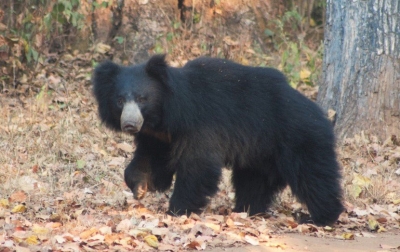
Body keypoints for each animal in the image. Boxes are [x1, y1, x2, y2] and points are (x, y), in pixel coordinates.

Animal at [93, 54, 344, 226]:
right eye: (119, 100)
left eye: (142, 99)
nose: (130, 124)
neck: (165, 115)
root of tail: (320, 113)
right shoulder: (158, 136)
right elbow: (149, 159)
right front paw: (140, 186)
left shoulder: (200, 124)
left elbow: (198, 165)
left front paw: (178, 210)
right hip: (260, 152)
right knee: (254, 181)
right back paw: (247, 209)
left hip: (299, 137)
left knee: (313, 176)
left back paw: (320, 217)